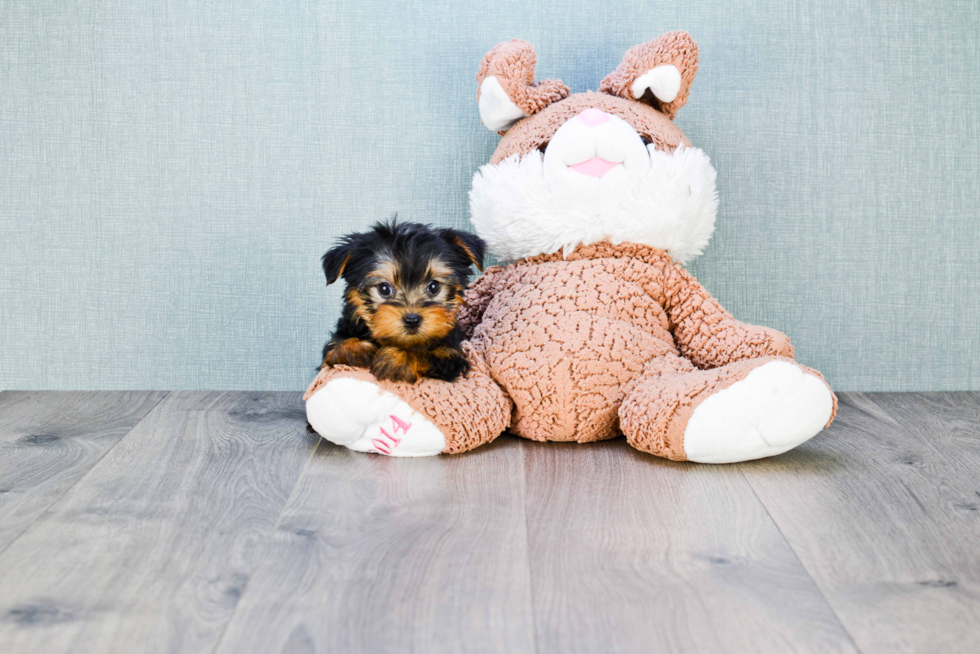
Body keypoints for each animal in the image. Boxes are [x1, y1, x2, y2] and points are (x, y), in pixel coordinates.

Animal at [322, 222, 486, 384]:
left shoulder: (450, 357)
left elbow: (426, 355)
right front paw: (358, 350)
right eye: (384, 289)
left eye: (434, 287)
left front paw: (395, 359)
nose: (412, 320)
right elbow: (336, 346)